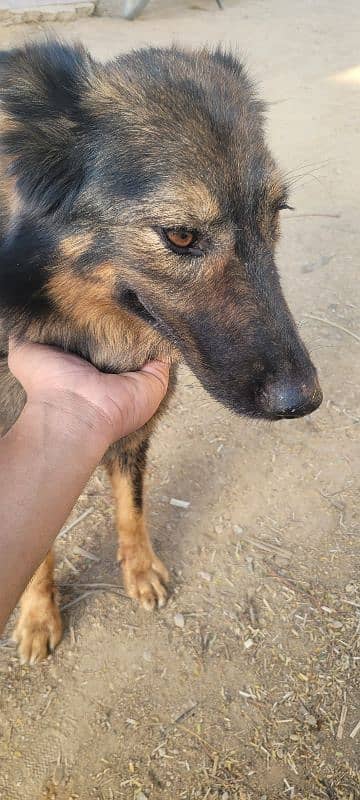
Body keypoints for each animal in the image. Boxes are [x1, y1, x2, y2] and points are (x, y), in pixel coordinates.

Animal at [0, 40, 322, 664]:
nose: (304, 401)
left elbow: (133, 504)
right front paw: (37, 613)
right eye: (179, 235)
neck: (90, 330)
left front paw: (141, 569)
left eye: (277, 213)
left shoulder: (134, 428)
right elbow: (40, 543)